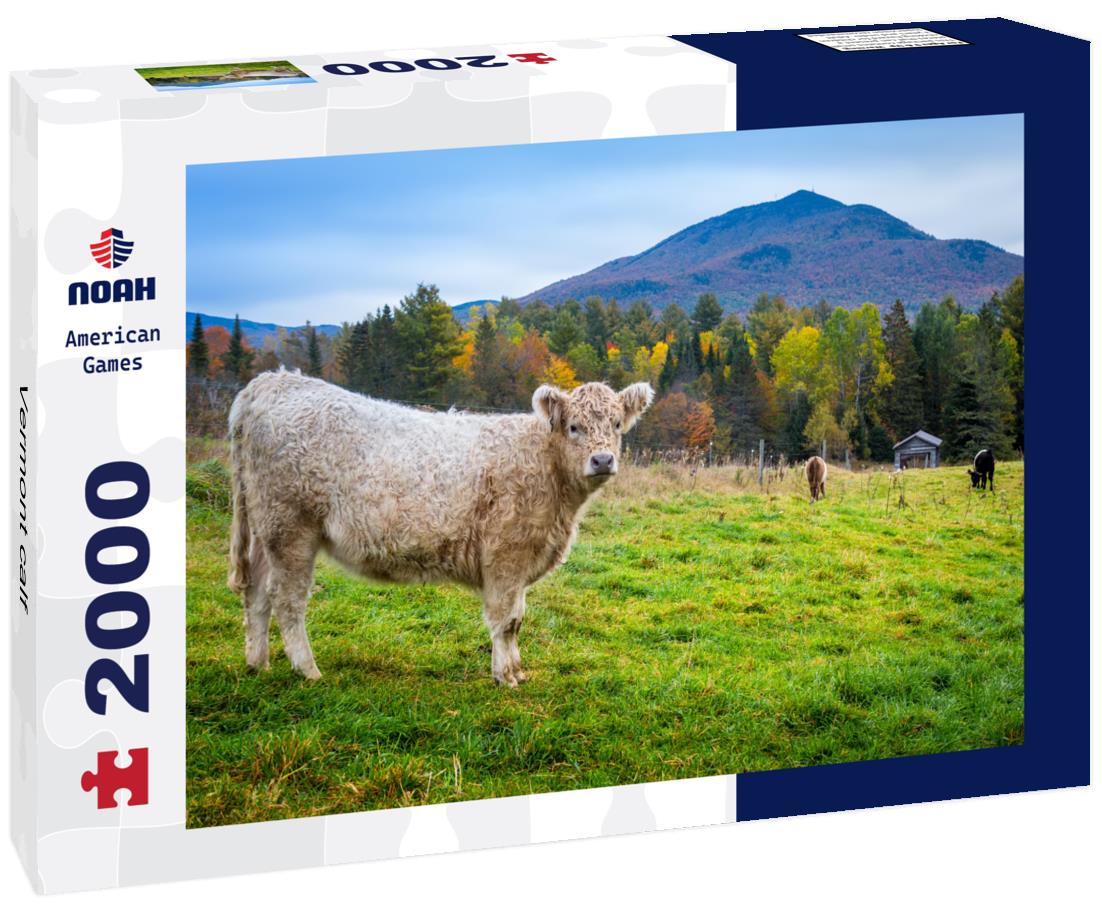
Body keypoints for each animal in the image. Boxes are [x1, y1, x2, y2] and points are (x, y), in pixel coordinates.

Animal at [227, 370, 654, 687]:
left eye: (617, 424)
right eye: (574, 427)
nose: (603, 460)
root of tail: (274, 380)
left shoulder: (522, 563)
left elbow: (517, 619)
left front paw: (517, 670)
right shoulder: (505, 555)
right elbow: (506, 620)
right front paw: (505, 676)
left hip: (265, 529)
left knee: (257, 595)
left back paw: (257, 663)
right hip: (291, 527)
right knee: (288, 600)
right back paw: (308, 670)